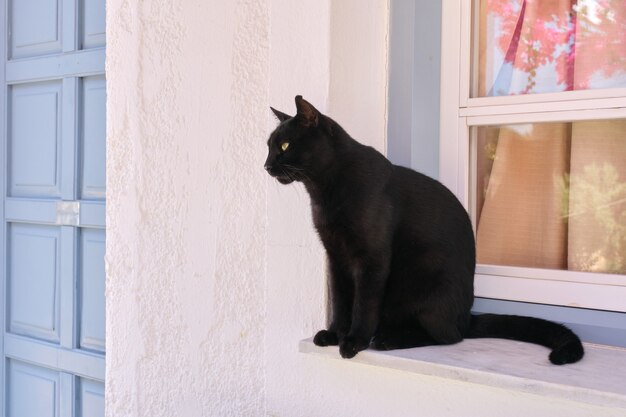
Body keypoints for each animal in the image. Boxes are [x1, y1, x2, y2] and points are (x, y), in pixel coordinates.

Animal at [262, 96, 580, 362]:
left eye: (285, 146)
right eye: (269, 146)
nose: (266, 165)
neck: (322, 191)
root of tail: (467, 315)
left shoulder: (371, 259)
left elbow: (363, 303)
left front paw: (353, 341)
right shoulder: (336, 257)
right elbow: (340, 301)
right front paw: (334, 333)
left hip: (426, 278)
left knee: (448, 336)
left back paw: (386, 340)